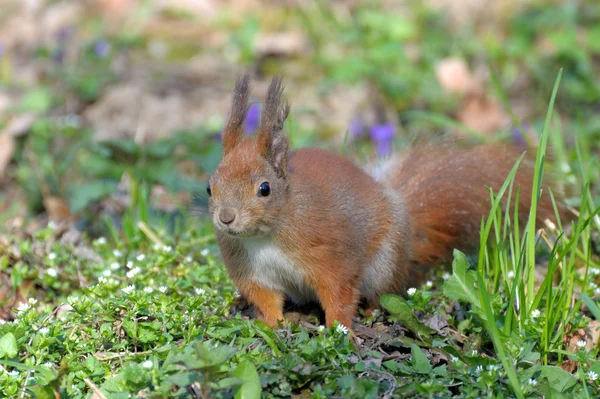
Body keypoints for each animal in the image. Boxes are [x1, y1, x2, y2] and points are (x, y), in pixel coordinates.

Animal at [207, 74, 564, 334]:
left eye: (264, 189)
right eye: (210, 187)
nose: (226, 218)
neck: (266, 235)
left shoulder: (332, 257)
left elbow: (339, 295)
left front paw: (340, 332)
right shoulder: (251, 272)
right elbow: (267, 300)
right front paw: (272, 325)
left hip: (384, 264)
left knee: (381, 294)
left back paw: (371, 313)